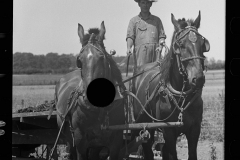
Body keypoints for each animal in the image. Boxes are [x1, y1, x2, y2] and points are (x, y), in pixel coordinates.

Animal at [131, 11, 210, 160]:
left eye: (203, 44)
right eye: (180, 45)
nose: (198, 79)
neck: (181, 96)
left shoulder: (195, 129)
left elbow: (191, 154)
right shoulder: (168, 132)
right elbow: (172, 154)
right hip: (144, 127)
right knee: (148, 150)